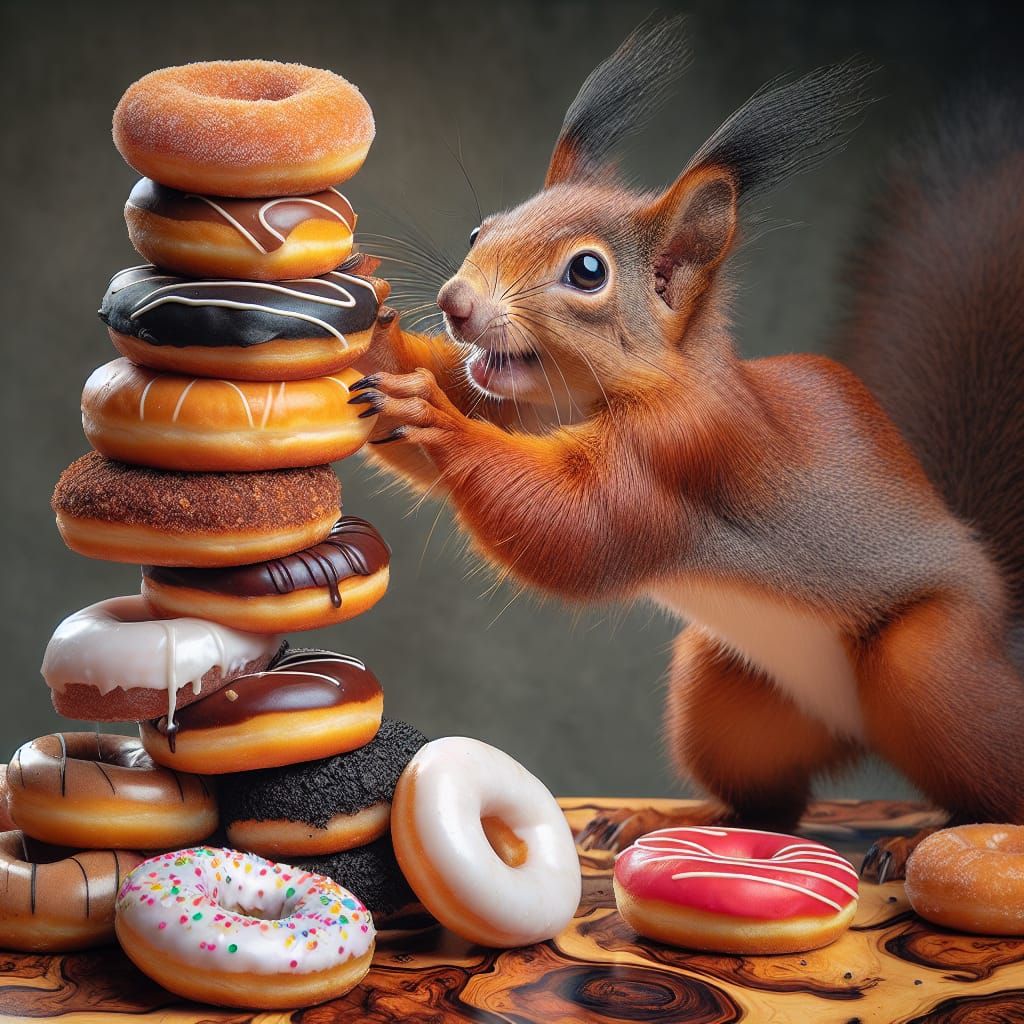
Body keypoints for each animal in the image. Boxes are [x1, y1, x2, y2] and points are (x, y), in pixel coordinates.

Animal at [350, 19, 1024, 881]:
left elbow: (577, 527)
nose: (454, 303)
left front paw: (433, 415)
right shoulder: (514, 399)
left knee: (988, 780)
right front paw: (374, 320)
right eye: (481, 229)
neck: (591, 395)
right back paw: (660, 818)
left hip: (934, 664)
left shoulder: (683, 453)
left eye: (588, 270)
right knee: (772, 804)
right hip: (724, 694)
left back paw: (921, 841)